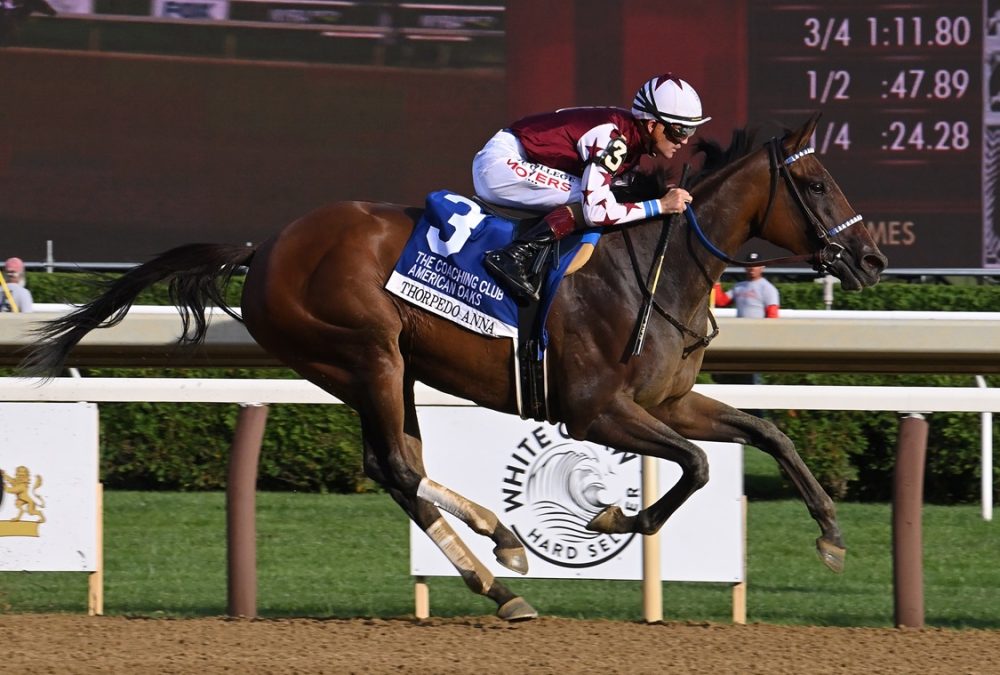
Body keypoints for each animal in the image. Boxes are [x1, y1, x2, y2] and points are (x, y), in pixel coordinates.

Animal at [23, 113, 884, 620]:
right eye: (815, 182)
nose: (872, 257)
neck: (651, 263)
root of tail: (262, 249)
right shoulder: (595, 409)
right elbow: (699, 466)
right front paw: (614, 518)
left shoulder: (668, 401)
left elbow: (766, 431)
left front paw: (832, 533)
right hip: (365, 351)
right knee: (401, 466)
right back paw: (501, 567)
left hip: (380, 368)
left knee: (395, 463)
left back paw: (500, 559)